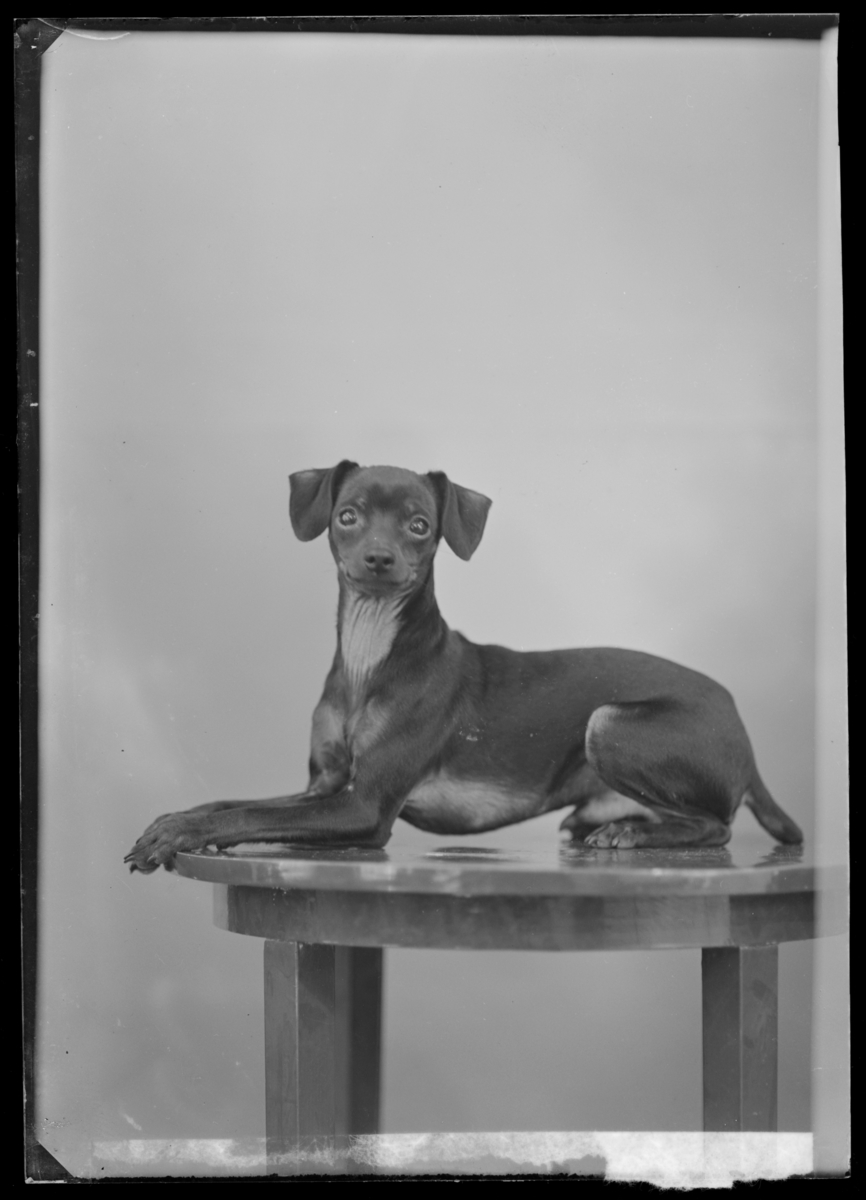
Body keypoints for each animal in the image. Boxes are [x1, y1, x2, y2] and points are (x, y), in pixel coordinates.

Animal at [125, 461, 803, 873]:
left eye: (420, 526)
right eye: (347, 516)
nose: (379, 558)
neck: (370, 656)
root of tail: (743, 732)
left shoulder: (364, 809)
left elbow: (250, 815)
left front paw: (175, 835)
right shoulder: (325, 785)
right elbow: (229, 802)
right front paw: (175, 820)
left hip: (609, 721)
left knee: (716, 825)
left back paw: (633, 835)